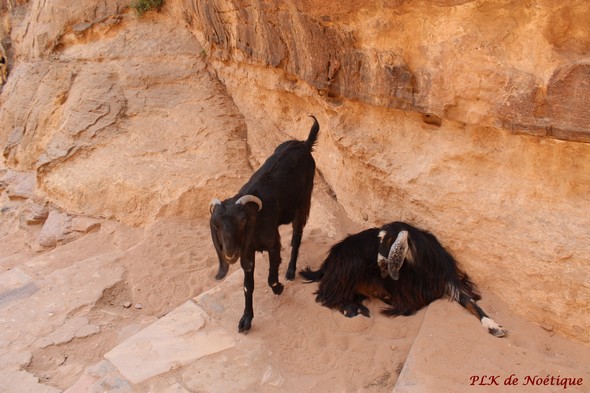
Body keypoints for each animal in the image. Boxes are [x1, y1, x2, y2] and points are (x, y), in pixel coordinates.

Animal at [208, 115, 320, 330]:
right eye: (216, 226)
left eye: (242, 223)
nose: (229, 254)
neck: (256, 223)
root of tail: (304, 144)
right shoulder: (247, 253)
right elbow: (247, 286)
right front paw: (246, 319)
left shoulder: (273, 244)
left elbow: (271, 277)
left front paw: (279, 287)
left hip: (303, 201)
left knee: (297, 235)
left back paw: (291, 271)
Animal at [300, 220, 508, 336]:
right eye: (379, 239)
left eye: (387, 239)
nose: (376, 262)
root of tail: (330, 259)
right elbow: (409, 306)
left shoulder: (449, 280)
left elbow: (470, 302)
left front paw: (494, 326)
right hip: (350, 266)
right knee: (325, 295)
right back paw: (351, 309)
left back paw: (358, 306)